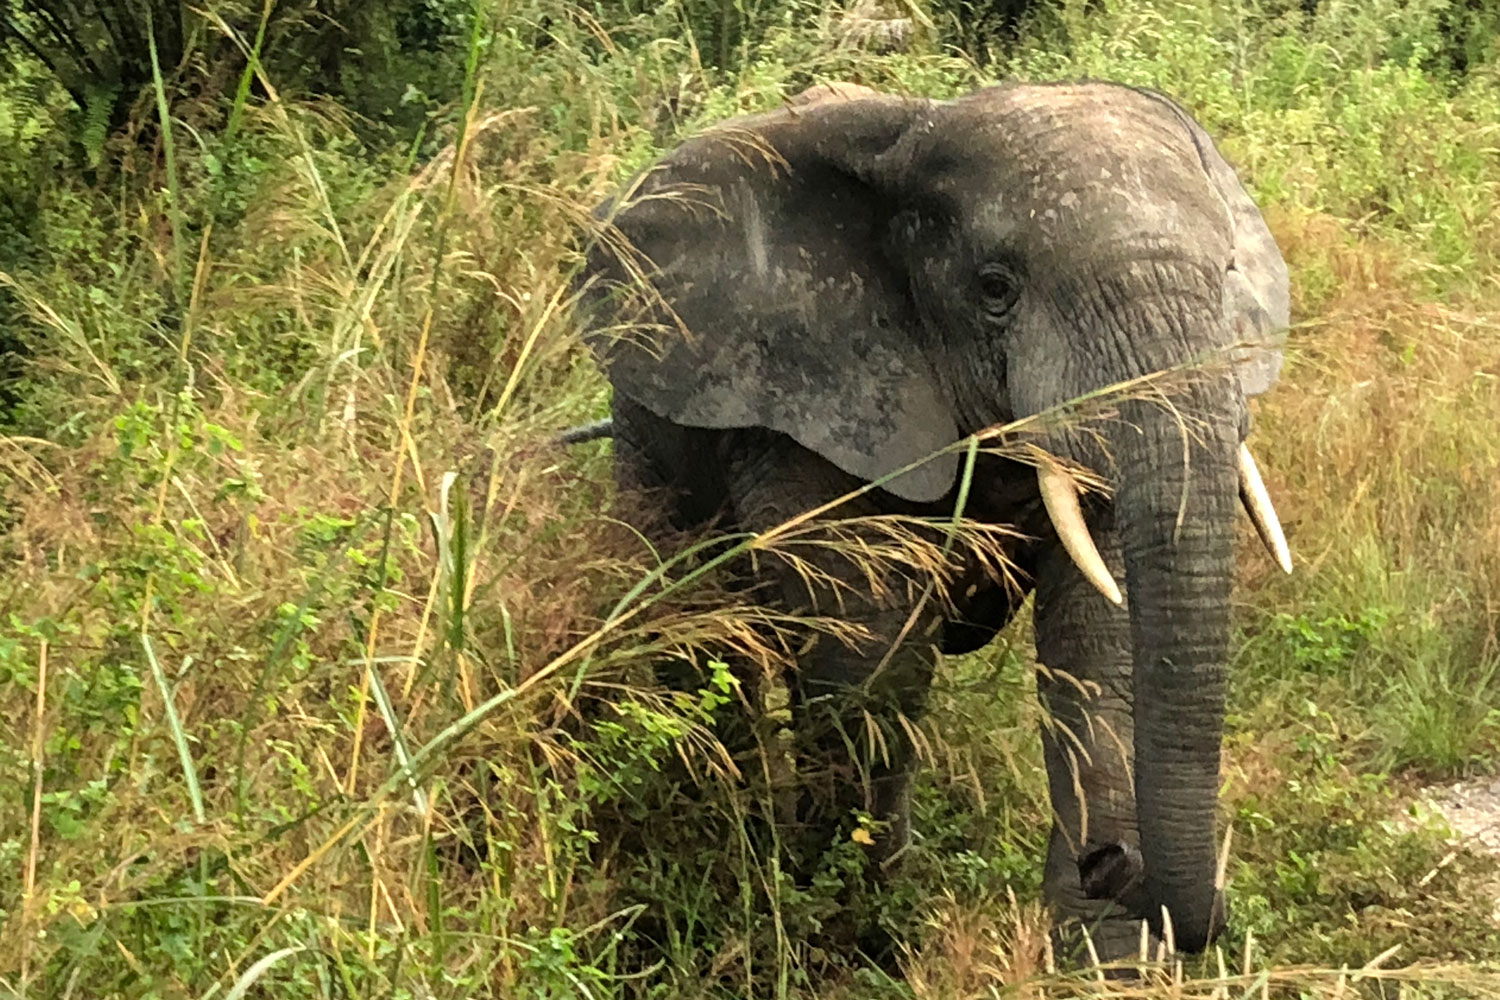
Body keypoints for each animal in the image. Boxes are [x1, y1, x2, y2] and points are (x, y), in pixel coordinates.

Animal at [567, 83, 1296, 959]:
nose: (1114, 862)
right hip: (645, 430)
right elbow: (868, 651)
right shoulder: (819, 388)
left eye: (1228, 275)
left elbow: (1103, 639)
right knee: (696, 625)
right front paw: (853, 931)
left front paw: (1111, 954)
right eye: (995, 288)